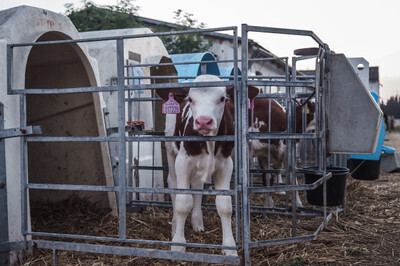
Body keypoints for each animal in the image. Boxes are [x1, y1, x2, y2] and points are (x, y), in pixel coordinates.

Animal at [156, 75, 260, 256]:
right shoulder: (183, 161)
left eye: (222, 98)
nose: (204, 121)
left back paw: (197, 222)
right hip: (170, 148)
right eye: (191, 99)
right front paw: (178, 243)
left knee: (197, 185)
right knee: (173, 183)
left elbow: (224, 205)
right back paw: (175, 226)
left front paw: (229, 246)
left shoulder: (226, 164)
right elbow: (183, 202)